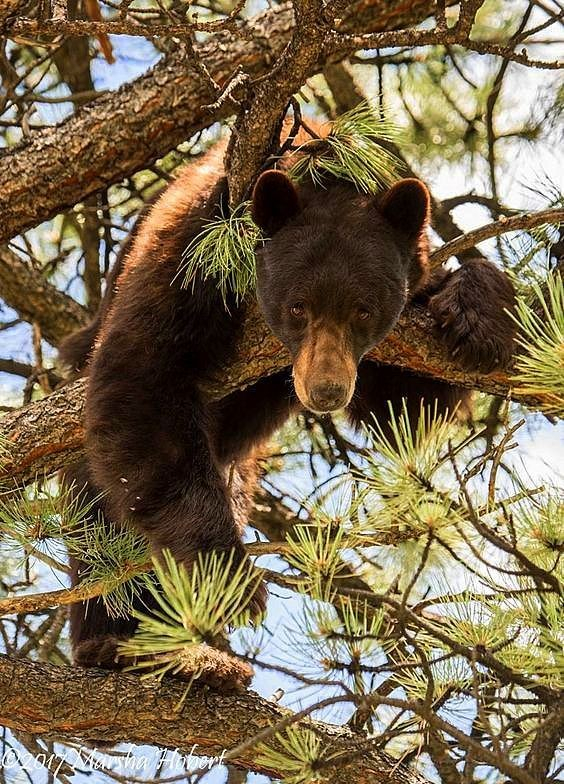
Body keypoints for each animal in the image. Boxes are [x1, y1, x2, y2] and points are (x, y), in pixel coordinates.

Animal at [60, 133, 516, 688]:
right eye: (297, 307)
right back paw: (121, 645)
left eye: (363, 311)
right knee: (102, 521)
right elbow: (141, 373)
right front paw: (231, 579)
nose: (325, 391)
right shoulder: (192, 252)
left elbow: (402, 409)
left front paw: (478, 313)